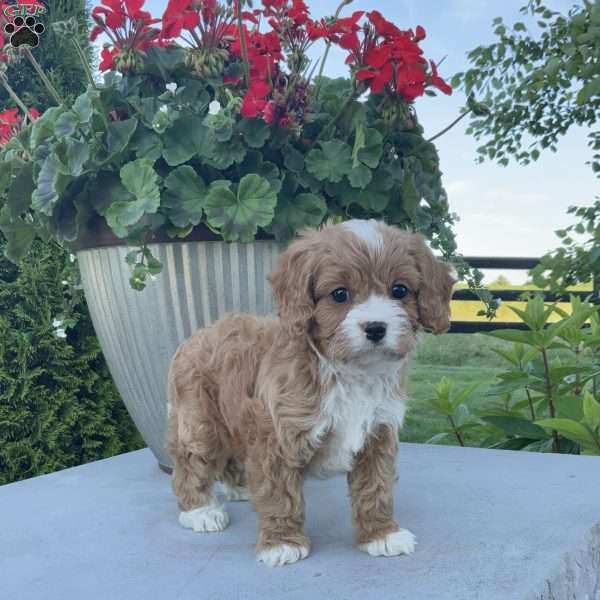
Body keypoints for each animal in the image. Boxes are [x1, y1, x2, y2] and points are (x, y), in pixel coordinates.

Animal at [165, 219, 454, 568]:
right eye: (339, 294)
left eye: (400, 290)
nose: (375, 327)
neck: (348, 371)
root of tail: (198, 335)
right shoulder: (278, 436)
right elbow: (279, 494)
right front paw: (282, 543)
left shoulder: (378, 433)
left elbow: (376, 487)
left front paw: (381, 534)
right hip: (200, 422)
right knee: (191, 463)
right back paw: (200, 510)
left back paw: (240, 488)